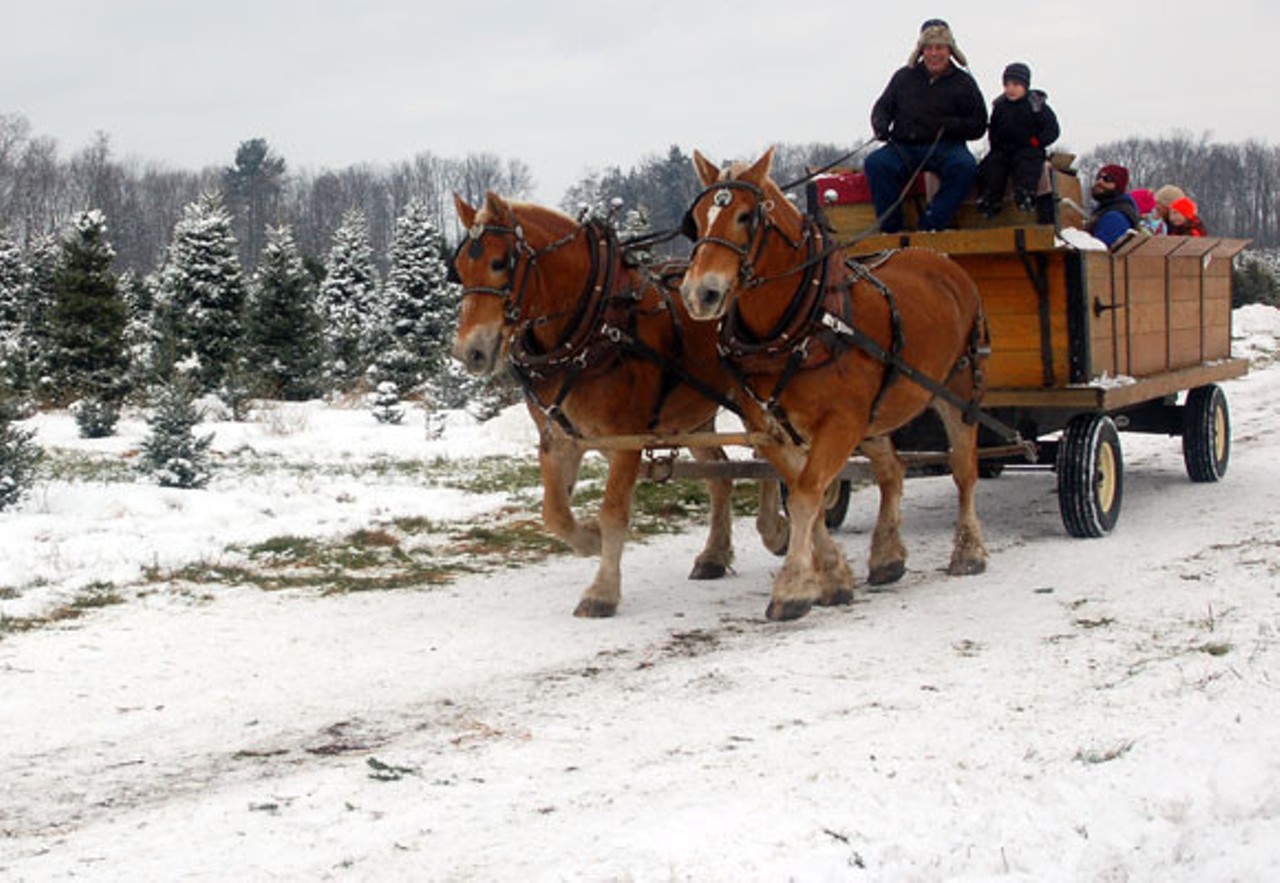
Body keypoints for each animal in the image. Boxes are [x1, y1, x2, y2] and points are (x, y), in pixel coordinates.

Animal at [450, 190, 778, 619]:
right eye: (458, 268)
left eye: (499, 262)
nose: (469, 352)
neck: (592, 326)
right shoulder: (559, 438)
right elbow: (555, 513)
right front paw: (589, 539)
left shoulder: (627, 439)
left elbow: (614, 512)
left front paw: (602, 591)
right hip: (693, 418)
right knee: (721, 475)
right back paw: (714, 555)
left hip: (754, 396)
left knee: (772, 455)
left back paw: (776, 528)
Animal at [680, 145, 988, 619]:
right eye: (696, 219)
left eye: (746, 216)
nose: (700, 294)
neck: (799, 325)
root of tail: (937, 256)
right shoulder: (771, 429)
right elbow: (806, 491)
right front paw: (834, 576)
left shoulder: (839, 423)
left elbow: (807, 493)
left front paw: (792, 588)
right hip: (874, 416)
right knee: (892, 471)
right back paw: (887, 557)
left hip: (956, 392)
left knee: (964, 469)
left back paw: (969, 550)